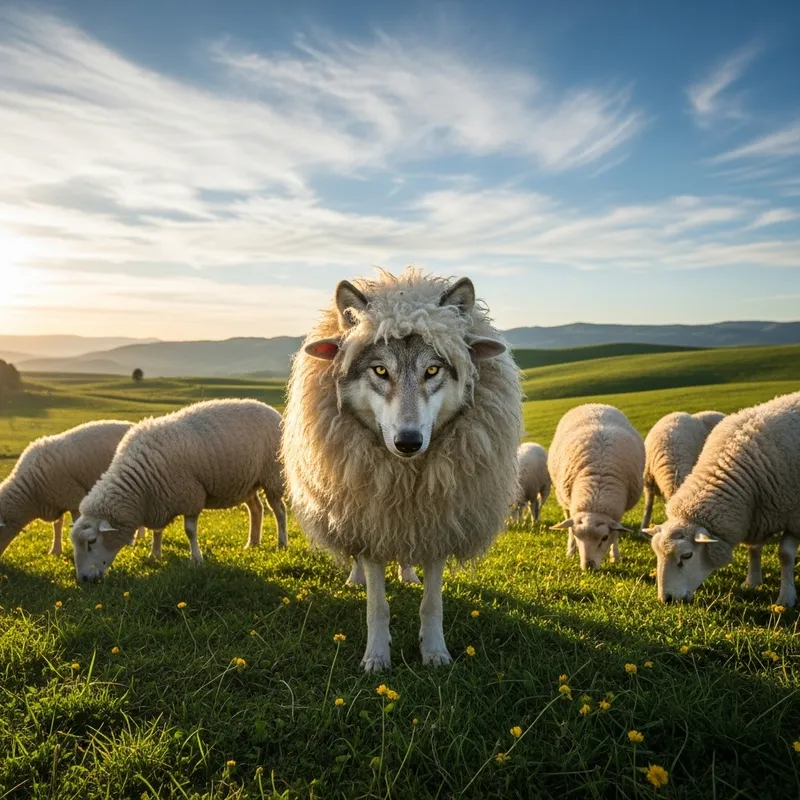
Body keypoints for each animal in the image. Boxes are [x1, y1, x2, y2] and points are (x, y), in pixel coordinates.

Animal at [70, 399, 287, 583]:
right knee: (256, 509)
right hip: (247, 482)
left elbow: (189, 531)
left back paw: (282, 544)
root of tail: (271, 409)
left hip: (273, 475)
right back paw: (253, 543)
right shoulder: (158, 499)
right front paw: (155, 555)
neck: (139, 487)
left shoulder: (191, 496)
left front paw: (196, 560)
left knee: (279, 510)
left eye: (91, 541)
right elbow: (157, 531)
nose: (84, 580)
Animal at [281, 268, 522, 672]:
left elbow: (432, 604)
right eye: (380, 370)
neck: (405, 476)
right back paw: (356, 578)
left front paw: (435, 651)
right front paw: (376, 656)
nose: (408, 441)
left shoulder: (439, 523)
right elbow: (377, 606)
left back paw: (408, 573)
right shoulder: (372, 522)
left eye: (432, 370)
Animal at [548, 404, 645, 570]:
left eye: (604, 537)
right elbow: (570, 528)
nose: (588, 567)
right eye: (577, 536)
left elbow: (616, 534)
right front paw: (572, 549)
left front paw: (615, 556)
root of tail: (595, 405)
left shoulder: (617, 514)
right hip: (562, 496)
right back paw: (570, 550)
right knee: (567, 518)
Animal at [646, 391, 800, 607]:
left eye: (687, 555)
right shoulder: (754, 515)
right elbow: (753, 549)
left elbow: (785, 555)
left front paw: (786, 598)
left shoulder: (795, 517)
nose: (667, 599)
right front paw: (752, 581)